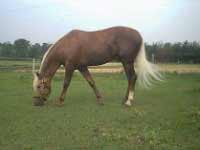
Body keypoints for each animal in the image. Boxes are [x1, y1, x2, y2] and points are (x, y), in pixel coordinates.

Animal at [32, 26, 161, 106]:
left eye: (38, 86)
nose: (36, 103)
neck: (67, 45)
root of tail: (138, 34)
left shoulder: (70, 66)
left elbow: (66, 83)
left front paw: (60, 101)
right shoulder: (82, 67)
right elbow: (91, 82)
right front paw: (100, 100)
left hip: (127, 61)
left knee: (132, 78)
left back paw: (129, 101)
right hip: (126, 62)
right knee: (130, 79)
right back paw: (124, 100)